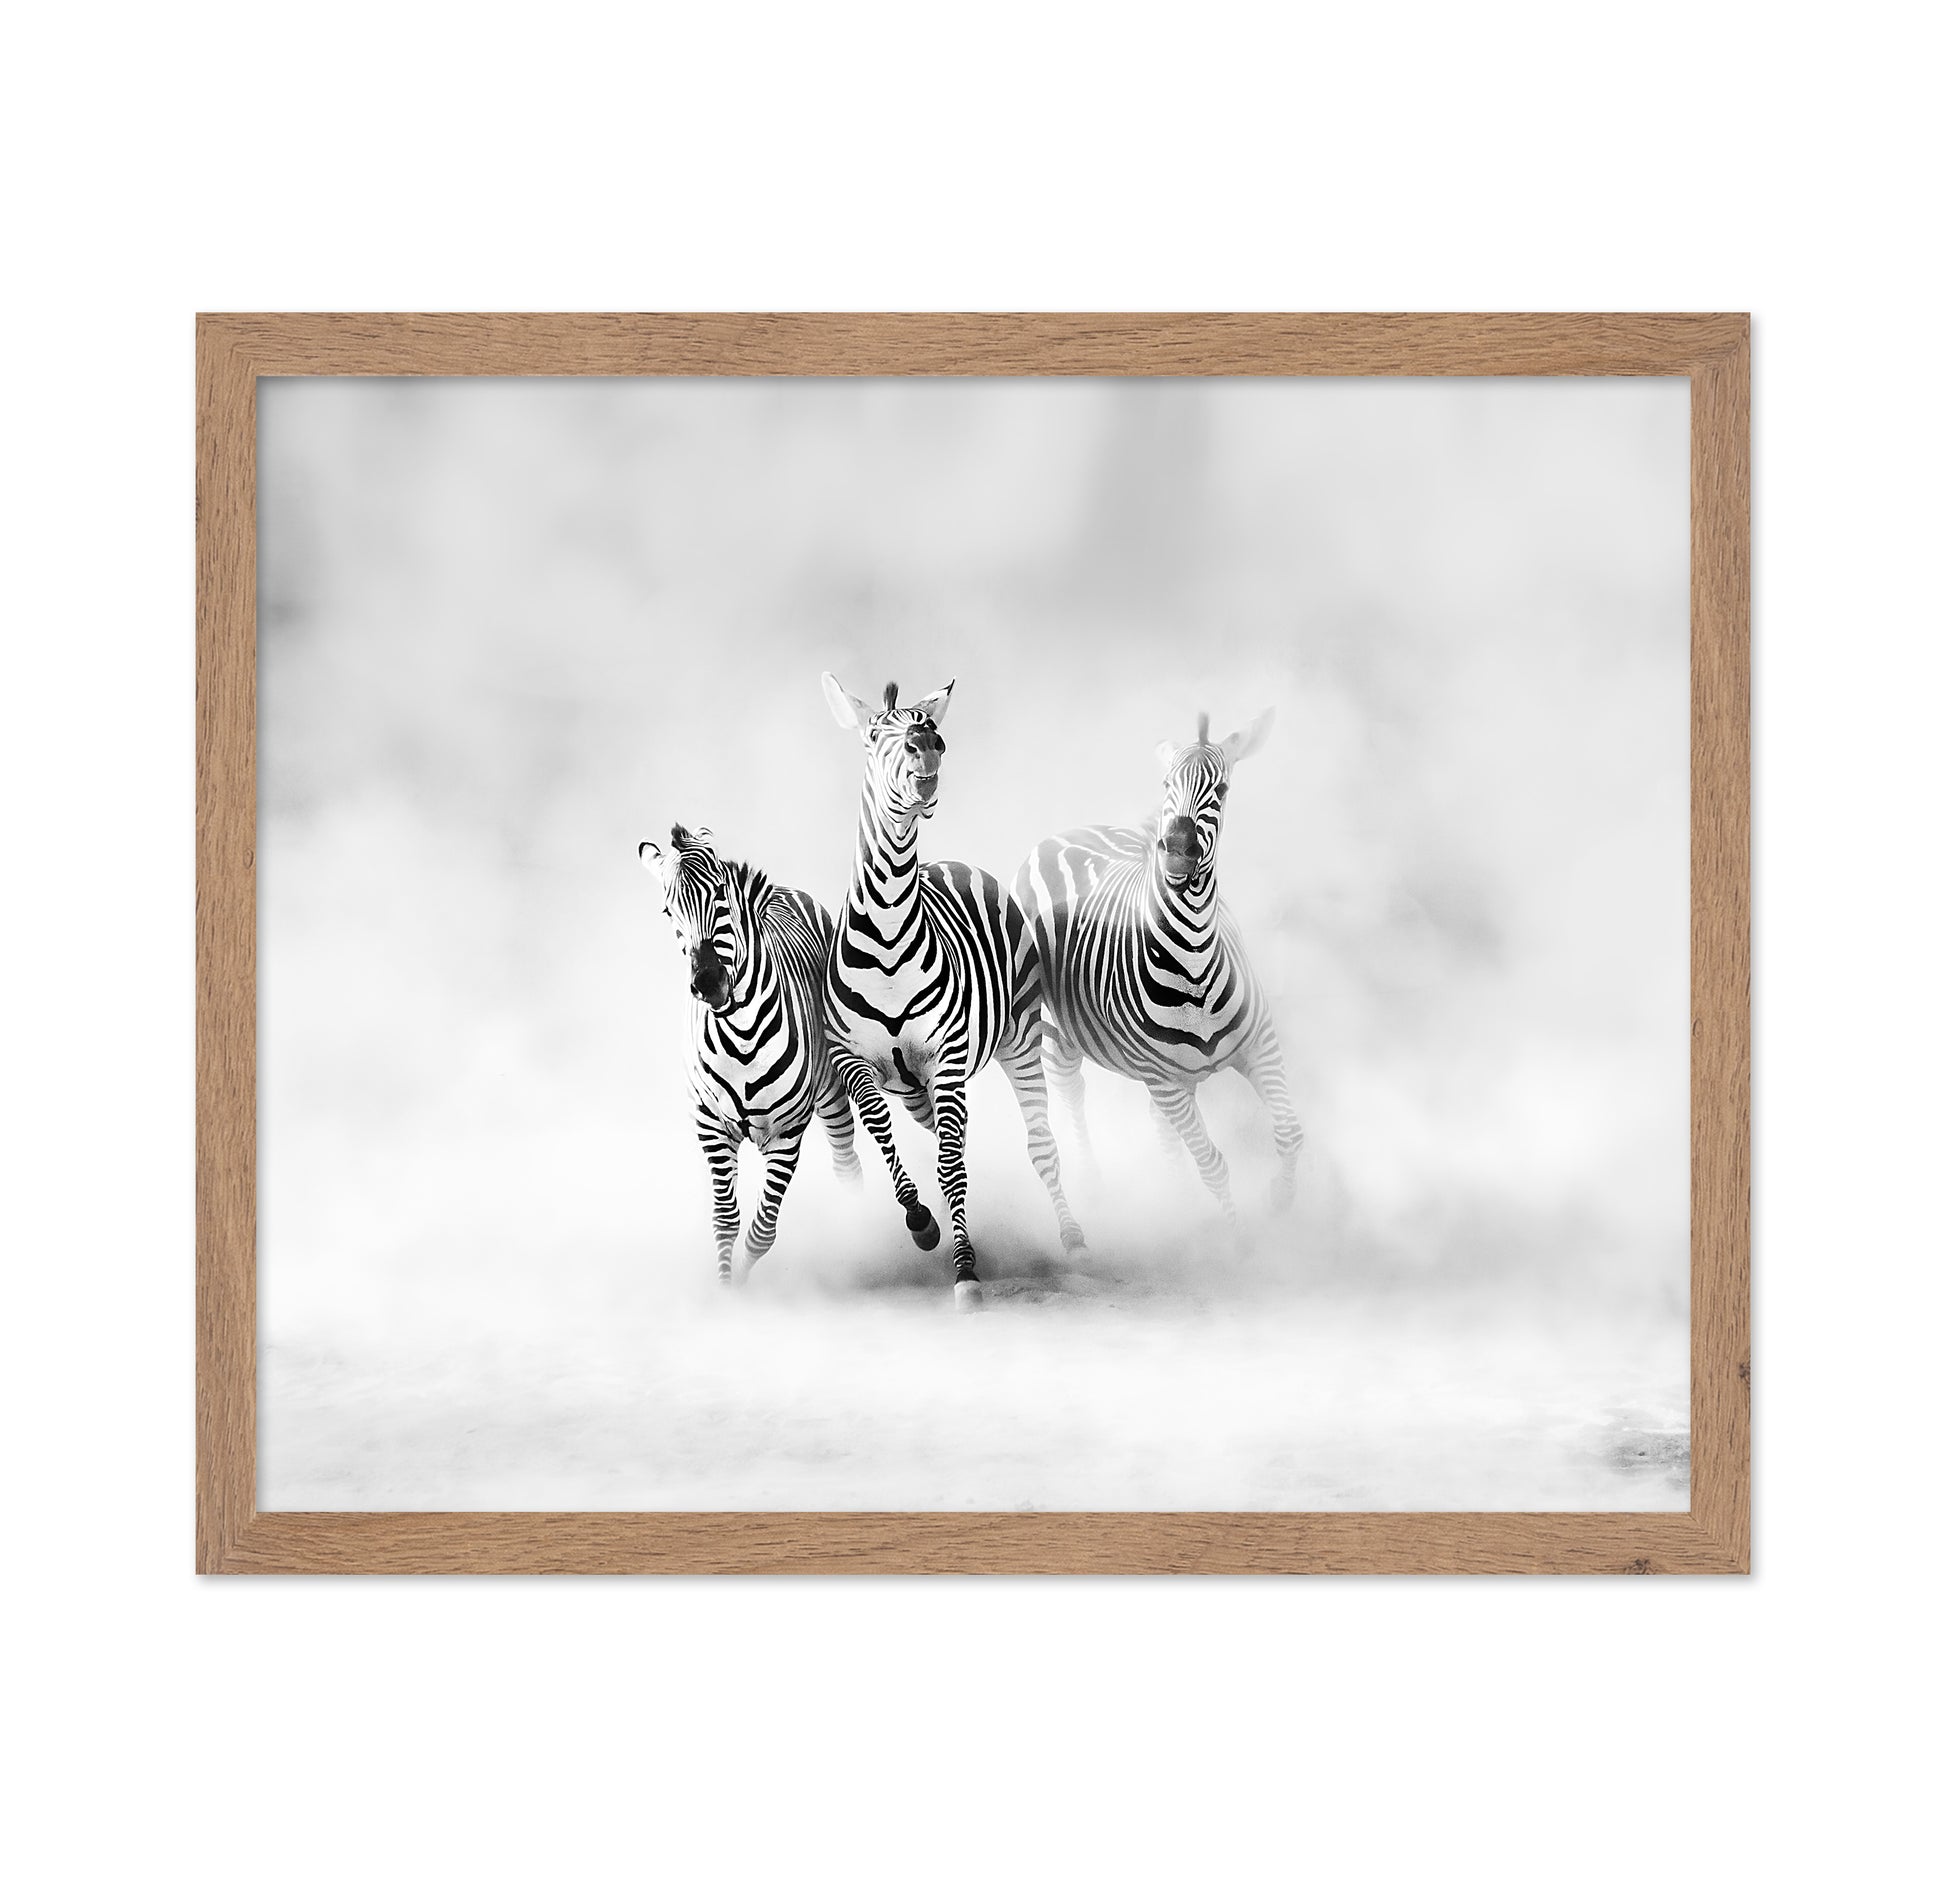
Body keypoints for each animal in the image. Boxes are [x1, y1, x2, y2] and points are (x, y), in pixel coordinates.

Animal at [639, 823, 861, 1283]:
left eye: (721, 893)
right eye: (668, 912)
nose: (708, 983)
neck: (741, 1035)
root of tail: (783, 890)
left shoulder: (787, 1132)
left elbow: (762, 1230)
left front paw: (741, 1278)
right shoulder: (711, 1127)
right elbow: (726, 1219)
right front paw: (728, 1288)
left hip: (831, 1091)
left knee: (847, 1165)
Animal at [821, 674, 1086, 1308]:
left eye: (929, 726)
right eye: (874, 735)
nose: (929, 746)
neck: (888, 931)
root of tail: (955, 863)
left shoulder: (945, 1057)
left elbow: (950, 1164)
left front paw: (966, 1269)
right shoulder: (853, 1060)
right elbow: (883, 1131)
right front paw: (921, 1222)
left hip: (1019, 1039)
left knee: (1038, 1143)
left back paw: (1073, 1241)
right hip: (916, 1085)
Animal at [1014, 710, 1302, 1225]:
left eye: (1222, 789)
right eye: (1167, 783)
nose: (1178, 849)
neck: (1194, 960)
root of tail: (1065, 834)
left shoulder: (1259, 1044)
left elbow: (1289, 1131)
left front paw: (1281, 1199)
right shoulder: (1164, 1081)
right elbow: (1213, 1165)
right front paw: (1238, 1236)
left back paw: (1175, 1197)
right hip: (1054, 1026)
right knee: (1070, 1089)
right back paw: (1096, 1188)